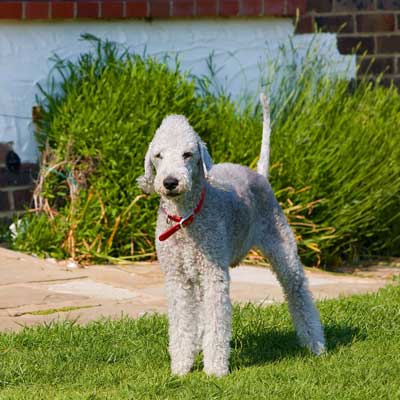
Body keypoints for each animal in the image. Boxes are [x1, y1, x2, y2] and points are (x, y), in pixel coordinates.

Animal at [138, 95, 324, 376]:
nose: (170, 182)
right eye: (158, 156)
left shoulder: (214, 274)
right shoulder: (177, 278)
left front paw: (215, 370)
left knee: (298, 290)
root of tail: (259, 174)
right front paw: (180, 368)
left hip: (282, 246)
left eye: (187, 154)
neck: (185, 218)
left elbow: (217, 323)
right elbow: (182, 324)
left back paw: (316, 344)